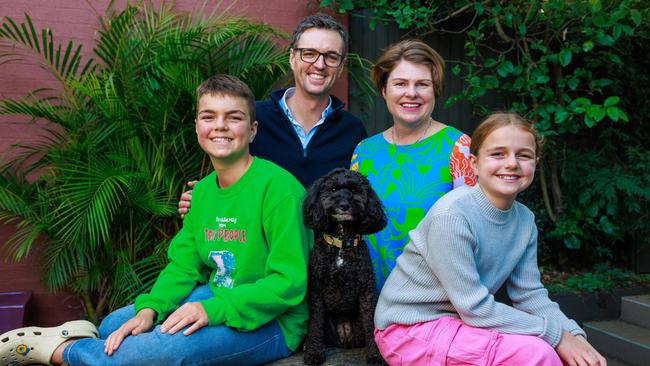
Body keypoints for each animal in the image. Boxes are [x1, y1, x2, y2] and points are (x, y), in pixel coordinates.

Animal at [302, 169, 388, 366]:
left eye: (355, 190)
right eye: (333, 189)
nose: (343, 205)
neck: (341, 244)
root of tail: (345, 339)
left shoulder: (366, 292)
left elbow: (371, 323)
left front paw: (375, 356)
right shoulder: (316, 291)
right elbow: (315, 325)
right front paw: (314, 353)